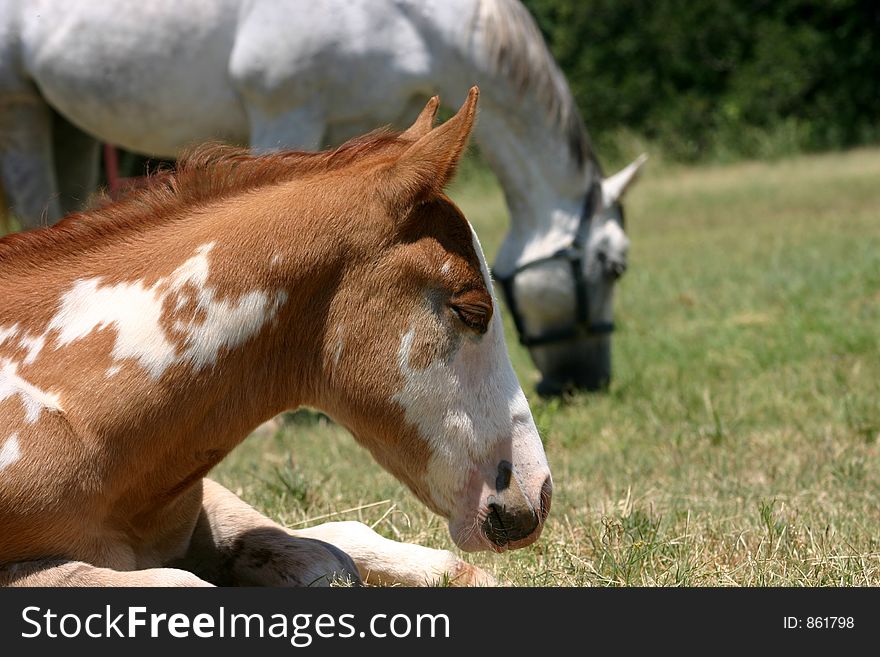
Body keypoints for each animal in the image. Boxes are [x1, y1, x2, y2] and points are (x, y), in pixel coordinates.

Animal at [0, 0, 648, 392]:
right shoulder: (288, 111)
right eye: (614, 266)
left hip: (68, 123)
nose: (585, 382)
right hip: (22, 108)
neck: (409, 19)